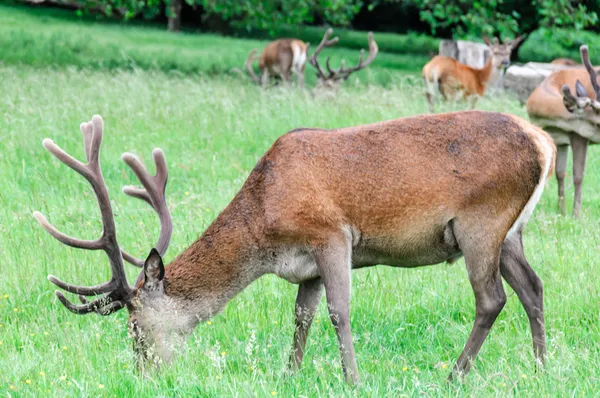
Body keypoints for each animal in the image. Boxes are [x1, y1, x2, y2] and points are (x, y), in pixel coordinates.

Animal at [36, 110, 552, 384]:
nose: (143, 377)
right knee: (533, 288)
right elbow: (302, 316)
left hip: (481, 221)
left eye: (136, 328)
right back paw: (541, 367)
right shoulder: (306, 266)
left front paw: (353, 380)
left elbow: (339, 312)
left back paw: (453, 377)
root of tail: (543, 141)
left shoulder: (332, 235)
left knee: (492, 299)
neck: (265, 230)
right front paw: (290, 375)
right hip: (511, 232)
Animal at [528, 45, 596, 218]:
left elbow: (578, 175)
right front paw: (561, 211)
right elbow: (560, 173)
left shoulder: (579, 135)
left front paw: (576, 213)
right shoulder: (560, 139)